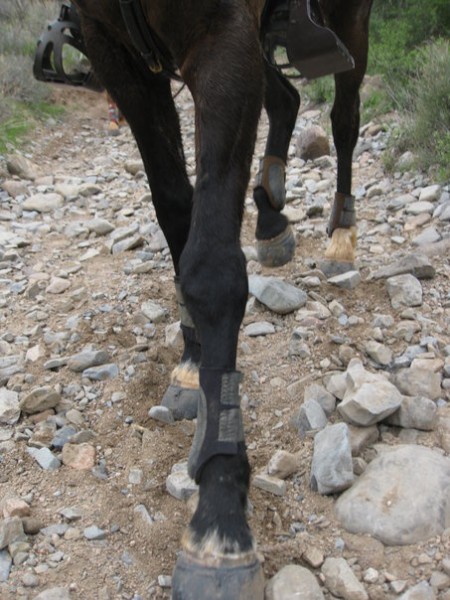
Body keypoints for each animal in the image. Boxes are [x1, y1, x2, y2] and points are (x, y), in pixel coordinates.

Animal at [37, 0, 374, 596]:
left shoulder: (224, 37)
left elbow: (213, 265)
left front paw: (220, 517)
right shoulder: (117, 55)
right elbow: (175, 206)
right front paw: (193, 359)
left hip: (349, 19)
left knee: (345, 114)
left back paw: (341, 234)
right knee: (285, 97)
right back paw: (269, 216)